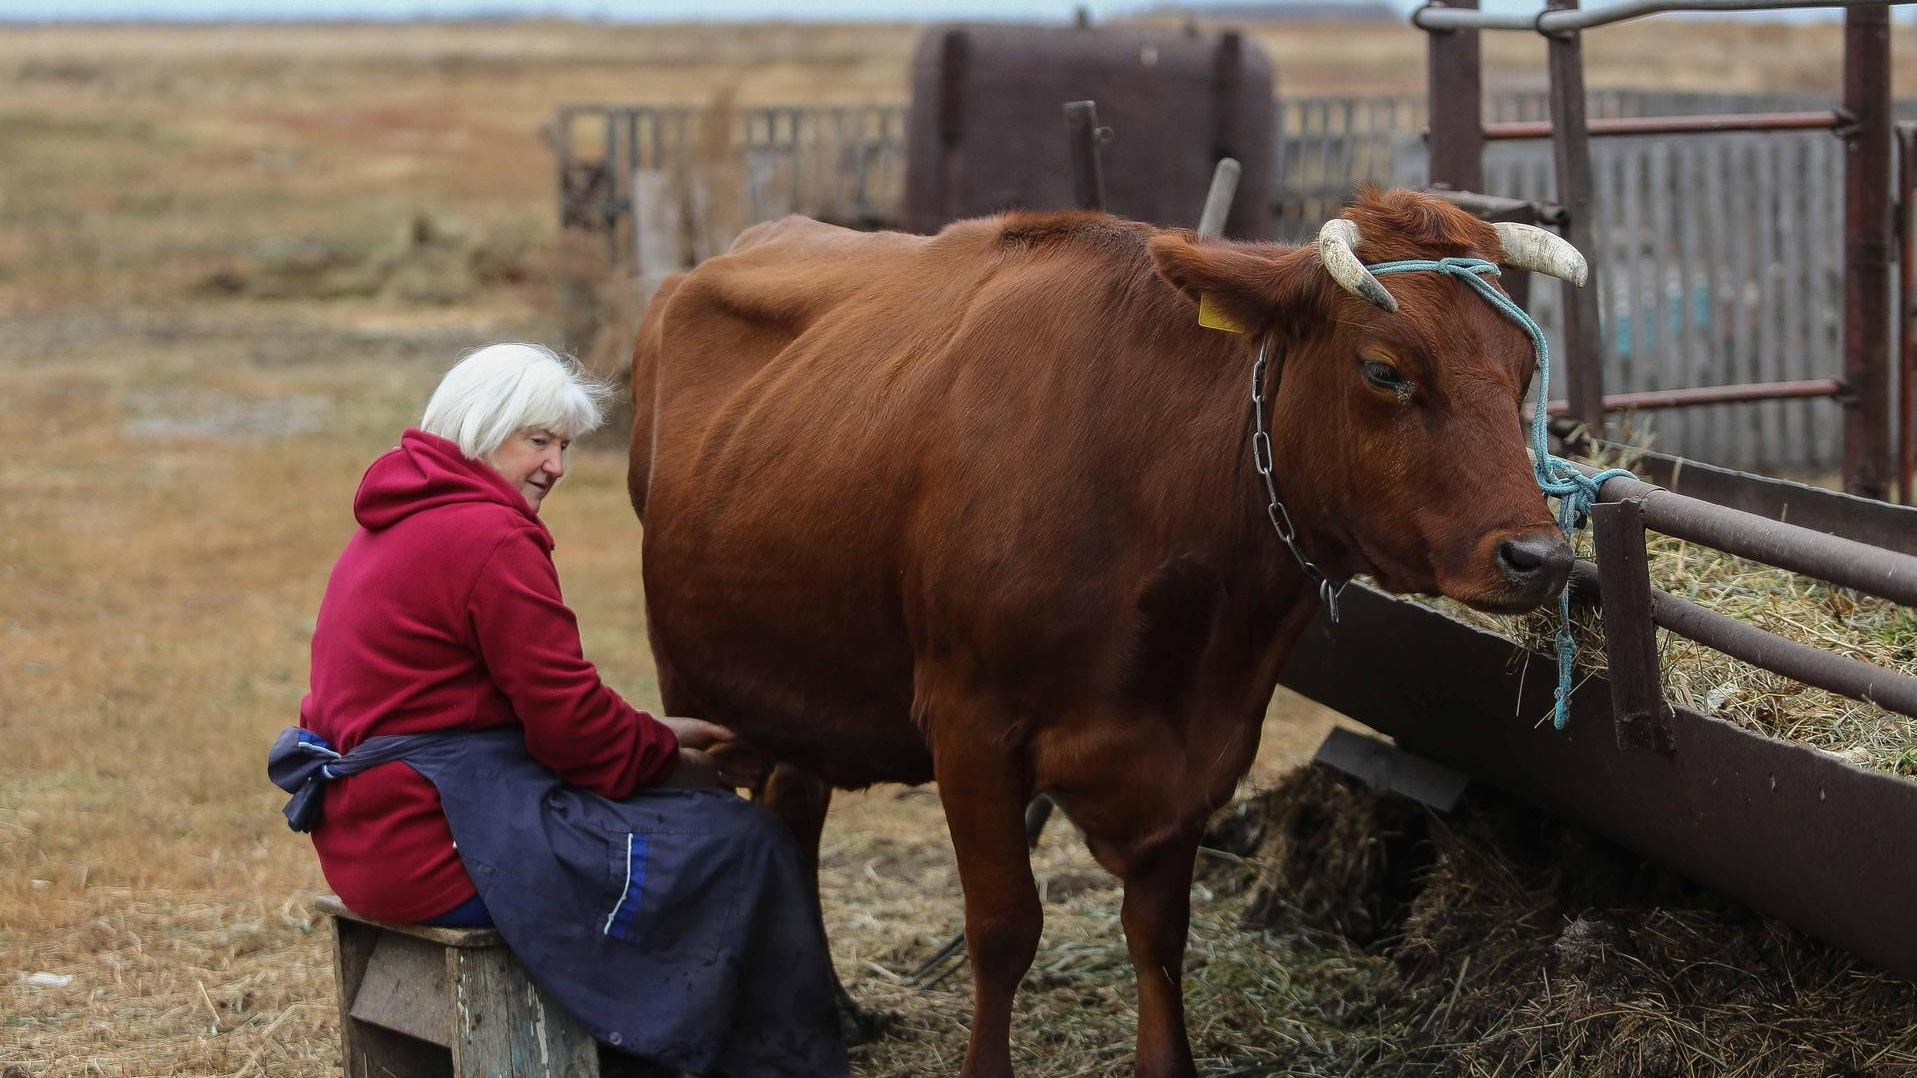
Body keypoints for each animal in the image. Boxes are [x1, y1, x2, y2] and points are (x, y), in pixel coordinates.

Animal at [636, 188, 1579, 1066]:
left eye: (1523, 368)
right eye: (1384, 370)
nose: (1537, 555)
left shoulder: (1196, 750)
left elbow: (1159, 936)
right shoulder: (970, 730)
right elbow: (1003, 929)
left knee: (793, 811)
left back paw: (832, 1009)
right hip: (702, 688)